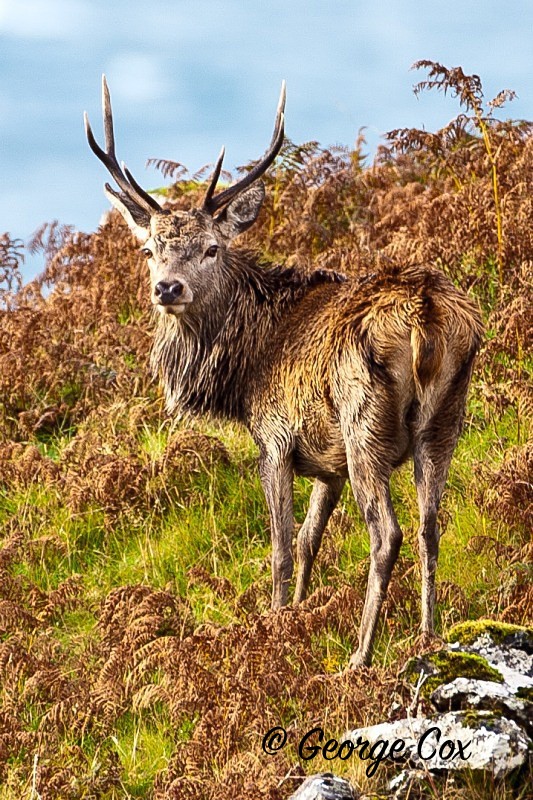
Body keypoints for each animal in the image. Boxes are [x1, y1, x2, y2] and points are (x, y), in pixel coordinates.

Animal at [85, 77, 483, 667]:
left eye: (212, 247)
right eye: (149, 249)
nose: (168, 288)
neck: (245, 365)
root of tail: (426, 312)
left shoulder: (275, 440)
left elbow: (279, 547)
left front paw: (272, 627)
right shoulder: (327, 463)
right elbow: (309, 539)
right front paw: (297, 618)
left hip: (363, 420)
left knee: (387, 533)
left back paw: (360, 656)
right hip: (444, 420)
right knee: (431, 526)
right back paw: (428, 637)